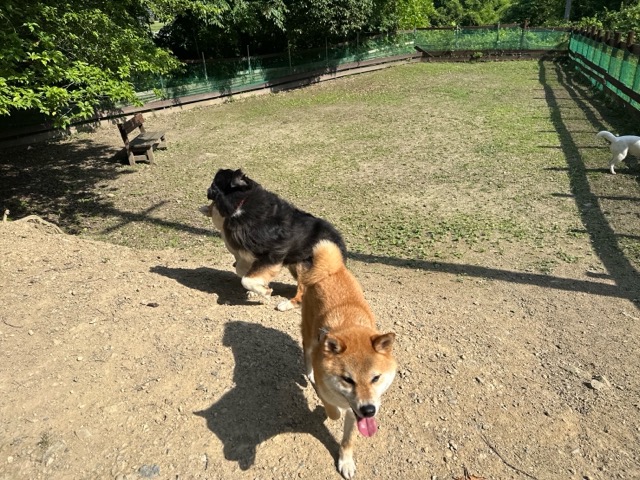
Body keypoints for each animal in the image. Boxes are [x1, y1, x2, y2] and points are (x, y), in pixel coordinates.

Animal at [206, 168, 347, 311]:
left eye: (214, 183)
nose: (207, 190)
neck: (242, 203)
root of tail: (339, 243)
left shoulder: (271, 254)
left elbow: (246, 279)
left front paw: (265, 292)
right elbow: (244, 271)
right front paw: (259, 288)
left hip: (305, 264)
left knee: (304, 290)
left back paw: (287, 304)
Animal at [300, 240, 397, 479]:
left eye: (376, 378)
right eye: (348, 379)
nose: (369, 410)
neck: (349, 324)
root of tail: (331, 270)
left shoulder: (357, 416)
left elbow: (348, 440)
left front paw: (346, 462)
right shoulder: (328, 391)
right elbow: (333, 411)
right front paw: (329, 412)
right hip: (309, 335)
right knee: (306, 351)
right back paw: (308, 373)